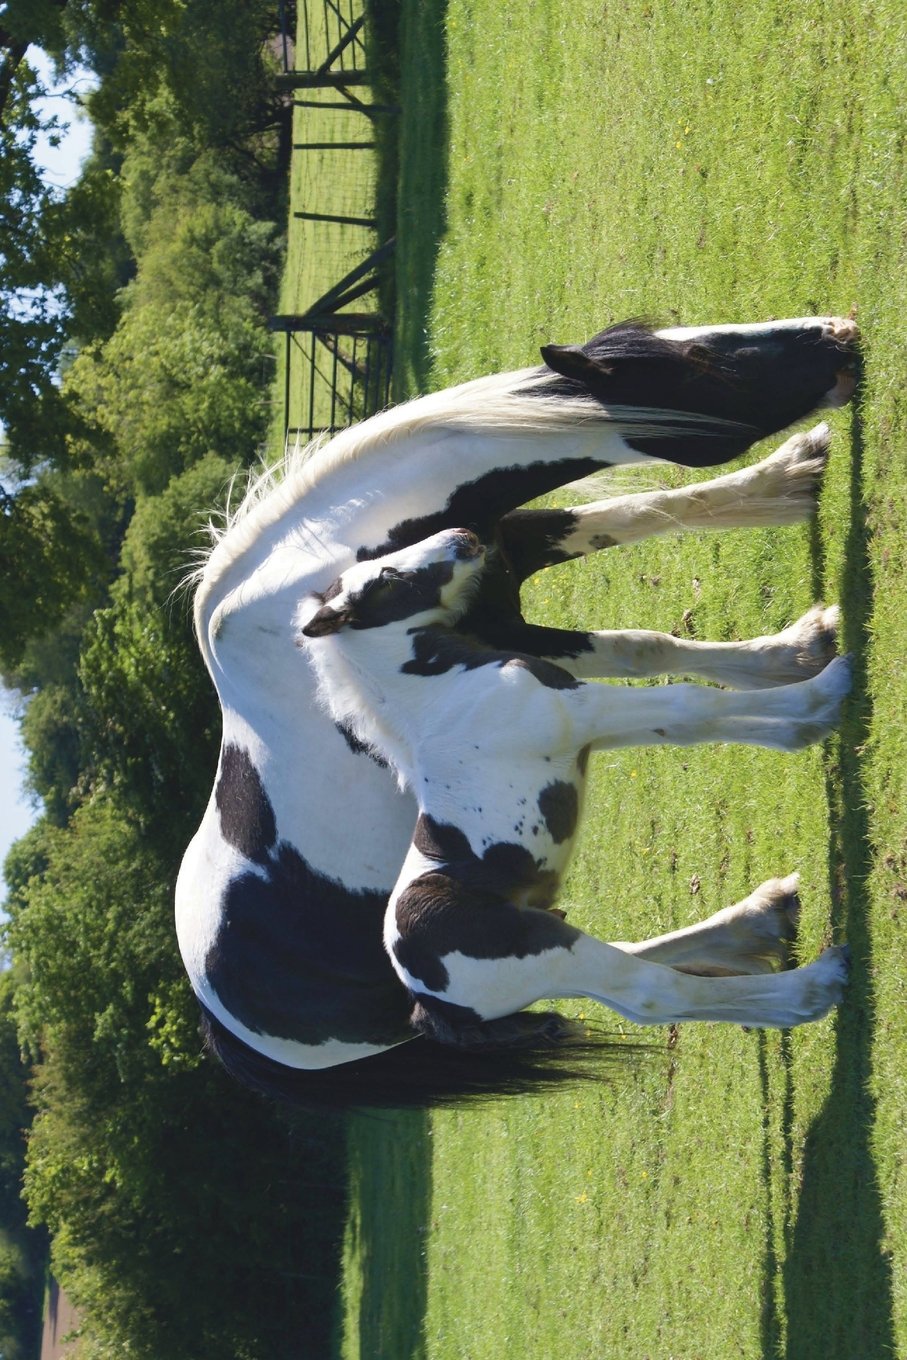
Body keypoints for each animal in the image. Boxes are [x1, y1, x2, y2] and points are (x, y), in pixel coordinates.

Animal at [298, 526, 852, 1045]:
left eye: (381, 561)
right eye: (387, 577)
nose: (463, 536)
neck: (445, 692)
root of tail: (425, 1003)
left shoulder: (585, 726)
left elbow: (688, 720)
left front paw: (803, 702)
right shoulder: (583, 711)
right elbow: (692, 702)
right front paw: (826, 692)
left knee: (634, 957)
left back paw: (765, 920)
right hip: (547, 949)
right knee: (650, 993)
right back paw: (815, 983)